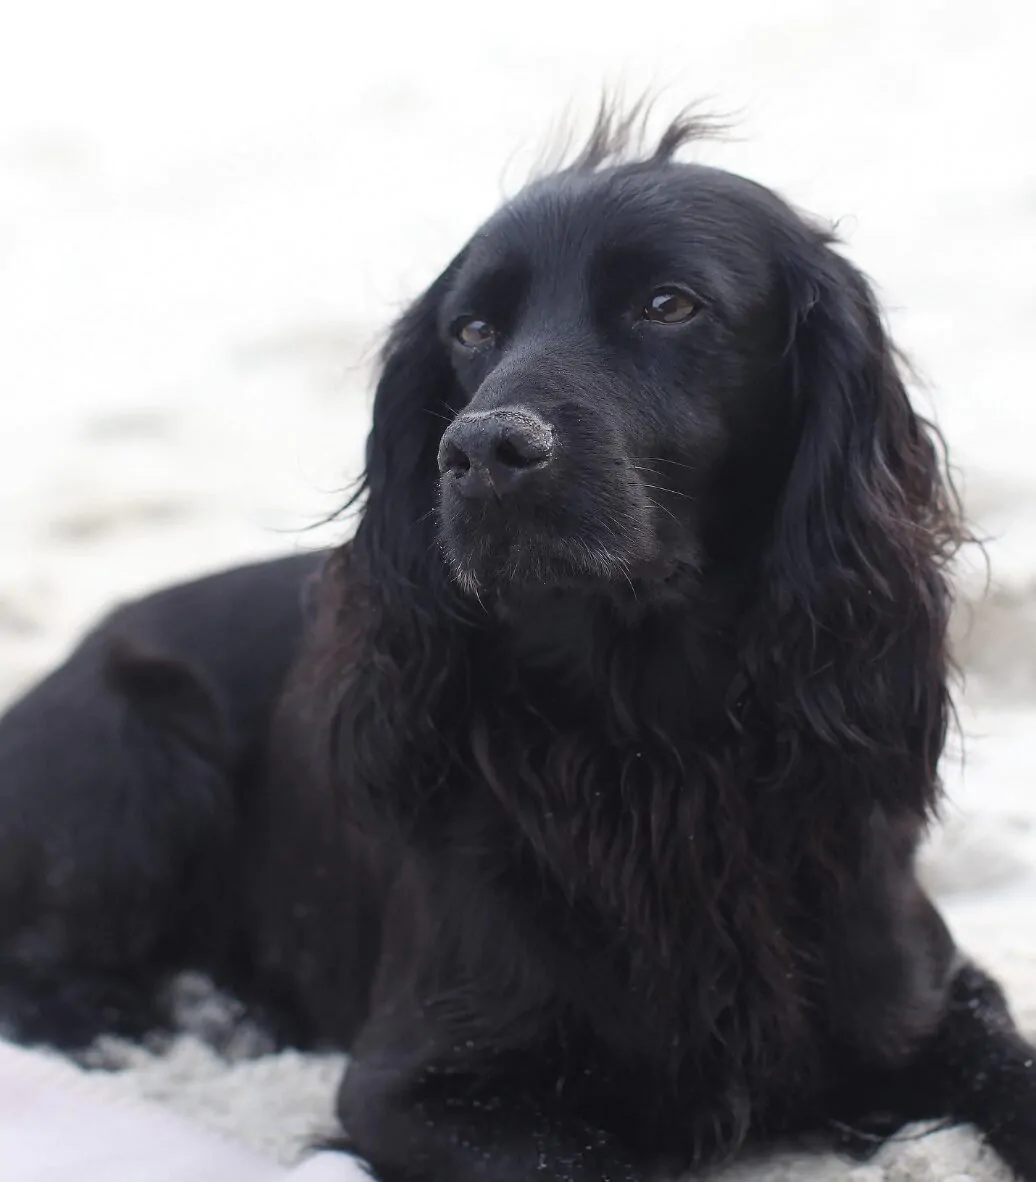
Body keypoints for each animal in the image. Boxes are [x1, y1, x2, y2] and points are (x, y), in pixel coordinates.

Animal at [2, 112, 1036, 1182]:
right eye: (472, 330)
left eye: (669, 304)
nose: (482, 453)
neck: (662, 748)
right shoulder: (414, 1085)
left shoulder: (923, 996)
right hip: (142, 740)